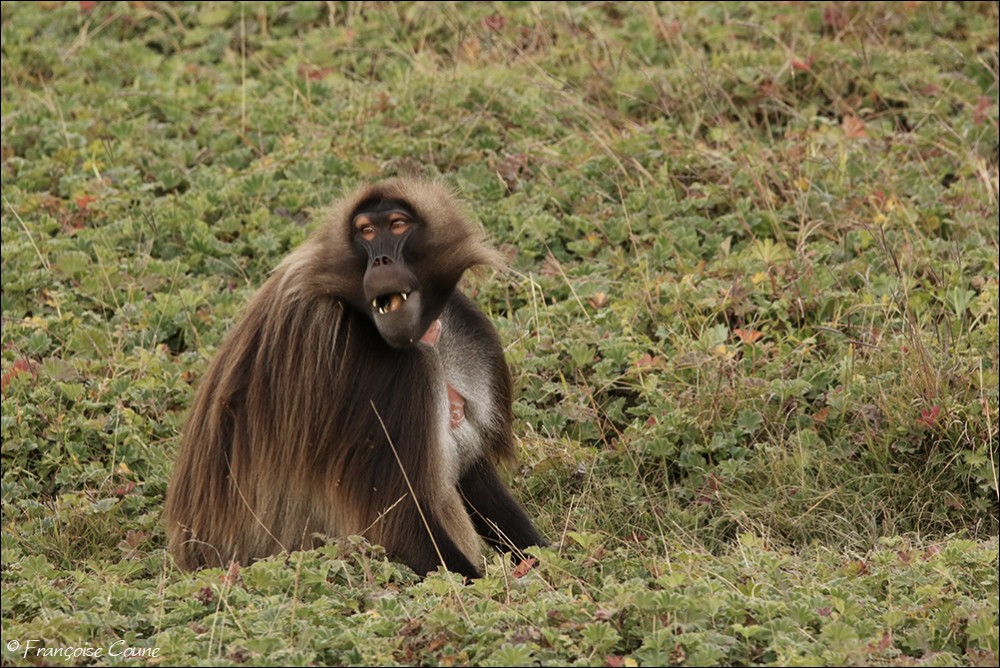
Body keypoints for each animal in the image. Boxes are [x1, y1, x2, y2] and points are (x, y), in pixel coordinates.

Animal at [164, 178, 546, 579]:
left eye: (397, 225)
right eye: (366, 231)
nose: (381, 261)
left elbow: (471, 471)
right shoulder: (391, 374)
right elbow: (398, 522)